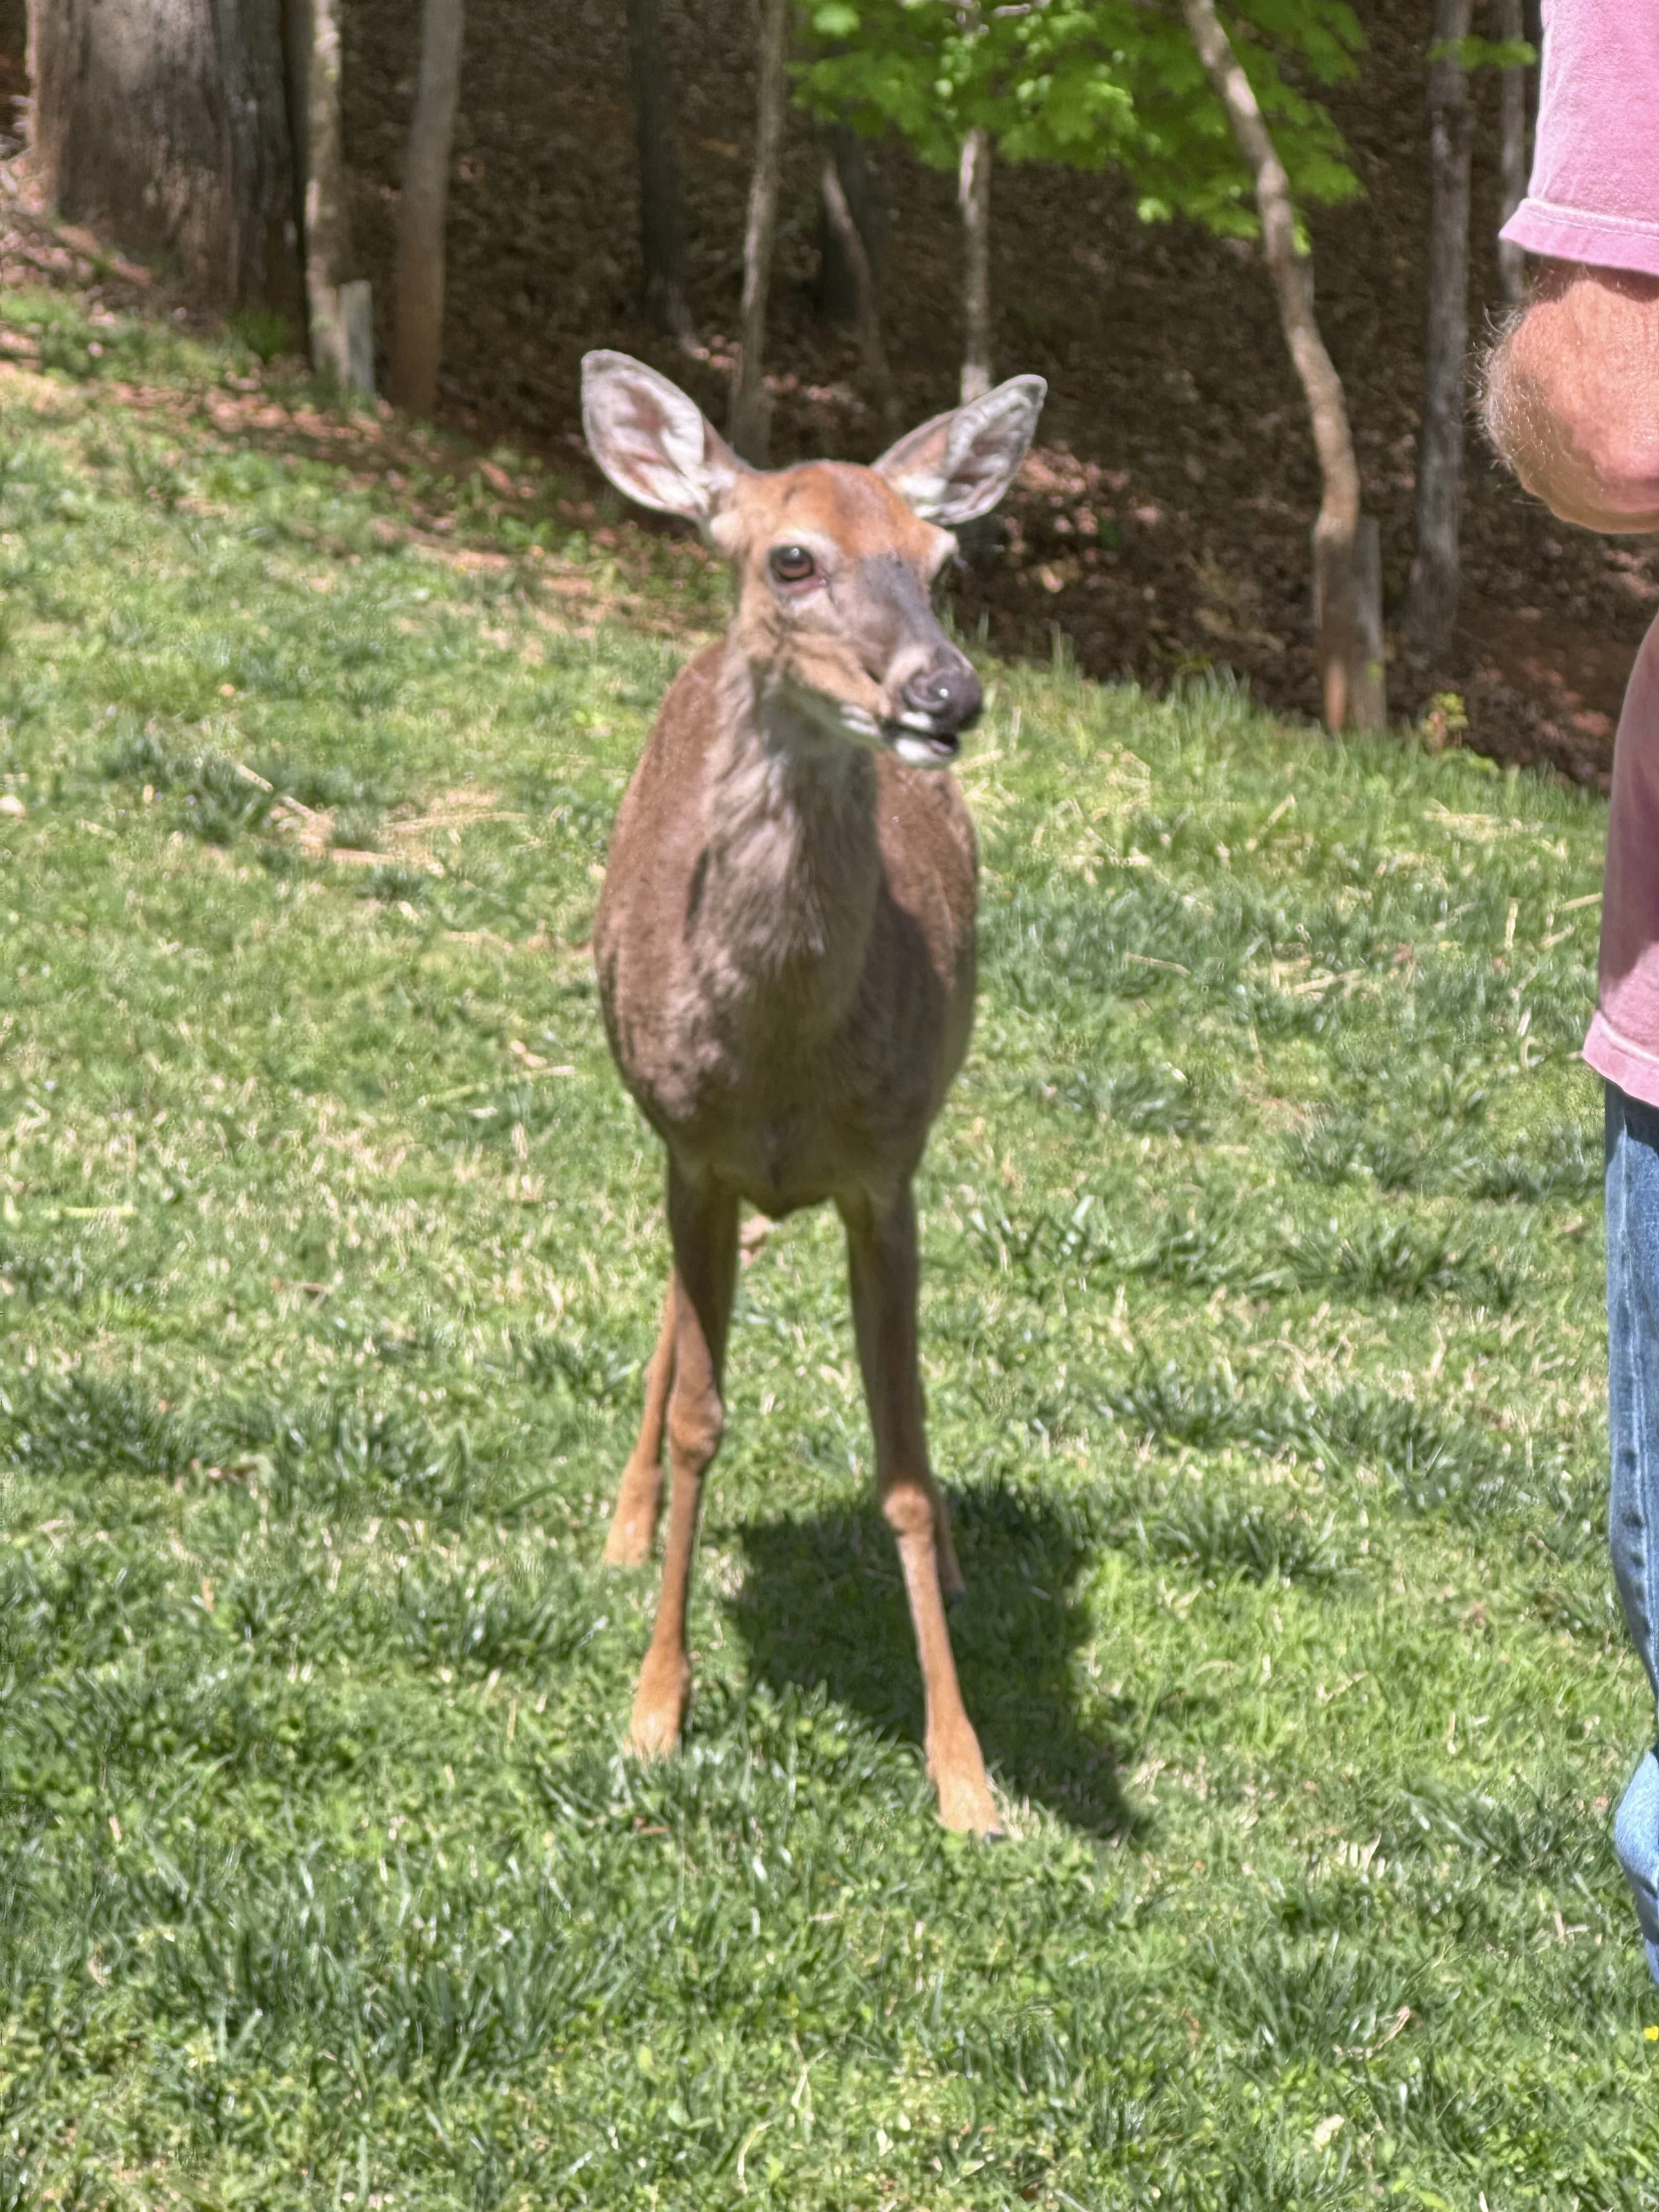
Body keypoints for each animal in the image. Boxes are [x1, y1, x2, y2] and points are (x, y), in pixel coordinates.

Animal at [581, 350, 1045, 1836]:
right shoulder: (692, 1149)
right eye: (792, 558)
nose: (946, 695)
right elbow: (699, 1421)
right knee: (676, 1331)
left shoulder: (883, 1174)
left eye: (943, 560)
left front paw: (965, 1771)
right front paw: (654, 1707)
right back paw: (622, 1526)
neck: (780, 1058)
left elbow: (896, 1469)